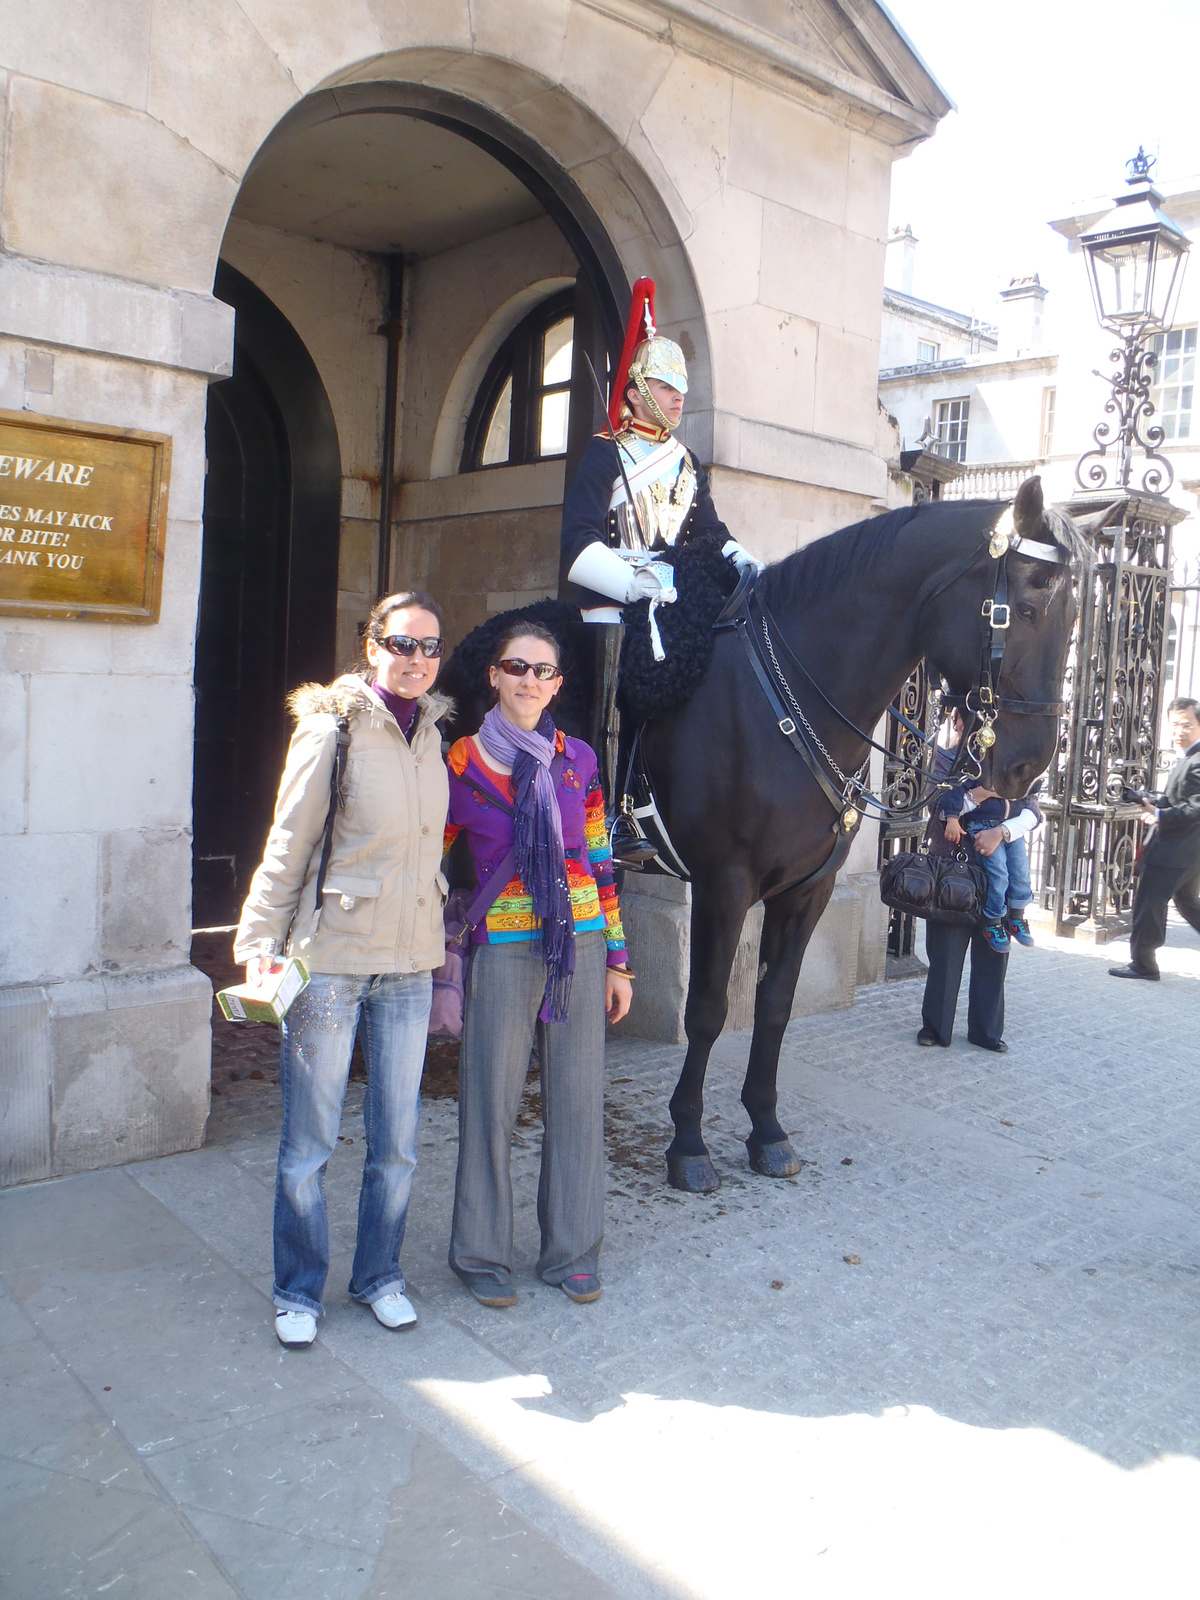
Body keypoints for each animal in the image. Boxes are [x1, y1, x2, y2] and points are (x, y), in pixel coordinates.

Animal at [649, 480, 1088, 1196]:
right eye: (1023, 607)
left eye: (1075, 616)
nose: (1027, 768)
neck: (789, 699)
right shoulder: (722, 884)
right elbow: (709, 1009)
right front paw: (688, 1141)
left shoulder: (810, 890)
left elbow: (775, 1004)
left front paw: (766, 1129)